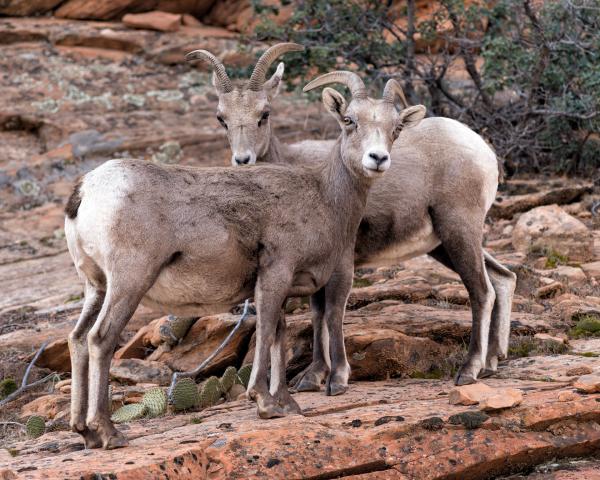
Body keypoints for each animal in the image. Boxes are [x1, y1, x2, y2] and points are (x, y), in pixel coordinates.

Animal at [63, 70, 424, 446]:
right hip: (129, 283)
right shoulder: (278, 273)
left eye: (396, 127)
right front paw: (265, 403)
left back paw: (85, 433)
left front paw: (286, 404)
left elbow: (279, 333)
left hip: (96, 287)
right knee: (100, 339)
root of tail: (87, 190)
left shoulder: (278, 285)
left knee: (77, 338)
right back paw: (109, 433)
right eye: (350, 120)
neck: (324, 198)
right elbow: (266, 330)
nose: (377, 158)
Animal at [191, 43, 516, 392]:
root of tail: (481, 150)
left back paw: (469, 370)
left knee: (481, 290)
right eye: (222, 118)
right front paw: (313, 377)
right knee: (503, 279)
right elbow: (317, 313)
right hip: (444, 243)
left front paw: (336, 379)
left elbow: (332, 312)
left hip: (459, 230)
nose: (243, 160)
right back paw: (493, 362)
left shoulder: (341, 262)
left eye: (264, 114)